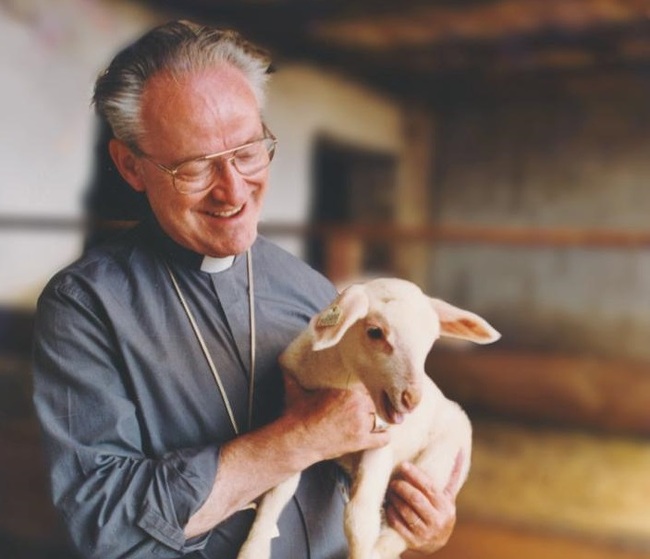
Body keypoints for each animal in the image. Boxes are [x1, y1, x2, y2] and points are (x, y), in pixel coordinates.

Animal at [235, 278, 498, 559]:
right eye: (374, 332)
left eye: (431, 341)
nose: (412, 398)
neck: (337, 379)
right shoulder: (297, 434)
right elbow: (275, 494)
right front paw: (252, 549)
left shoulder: (381, 444)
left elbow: (359, 517)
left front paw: (362, 552)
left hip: (440, 462)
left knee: (398, 533)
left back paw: (378, 551)